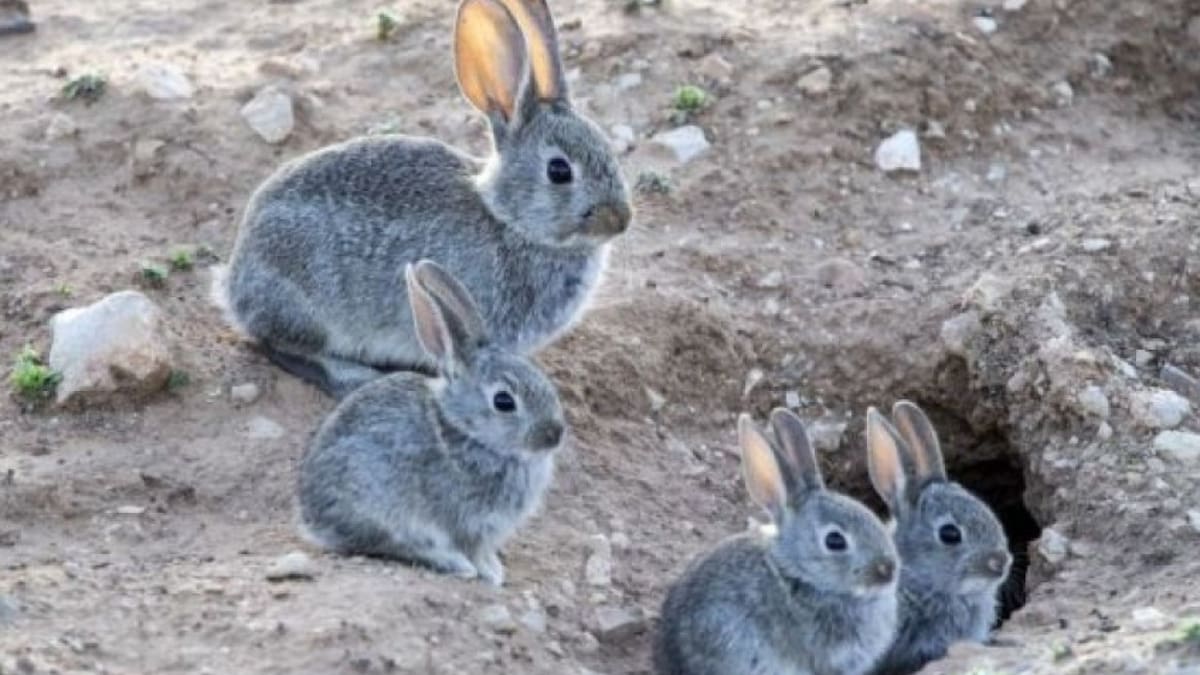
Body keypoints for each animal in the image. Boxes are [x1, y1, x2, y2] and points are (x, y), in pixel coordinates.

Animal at [211, 0, 632, 400]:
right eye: (559, 171)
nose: (621, 220)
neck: (508, 220)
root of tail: (234, 283)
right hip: (309, 308)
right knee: (280, 346)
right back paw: (352, 376)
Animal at [297, 259, 566, 587]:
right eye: (504, 402)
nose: (554, 434)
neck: (465, 430)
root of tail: (312, 519)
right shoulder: (467, 522)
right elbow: (473, 548)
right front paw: (490, 573)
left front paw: (495, 567)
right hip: (386, 512)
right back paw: (454, 564)